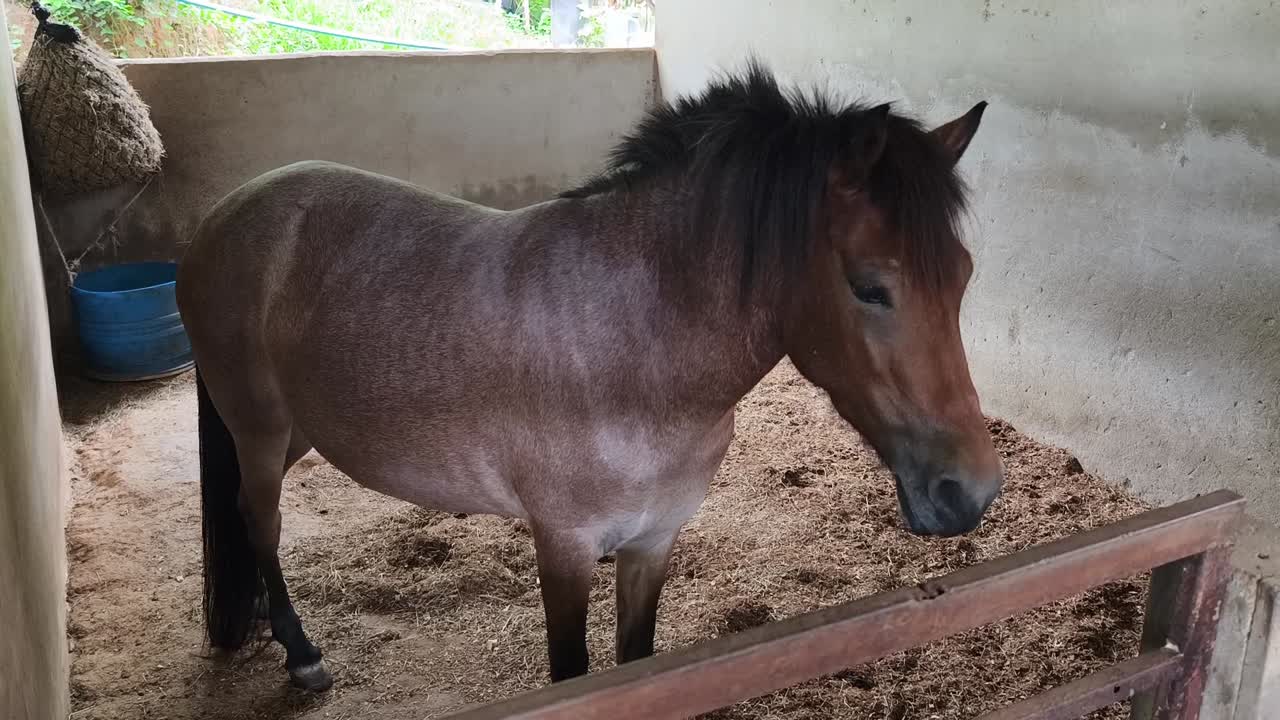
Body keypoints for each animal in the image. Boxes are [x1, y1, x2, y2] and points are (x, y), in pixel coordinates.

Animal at [176, 60, 1003, 692]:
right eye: (870, 287)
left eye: (965, 276)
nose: (971, 492)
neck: (632, 353)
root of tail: (222, 215)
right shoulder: (565, 549)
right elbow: (575, 678)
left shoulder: (651, 543)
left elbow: (637, 665)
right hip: (259, 429)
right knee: (261, 519)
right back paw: (301, 653)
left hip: (299, 430)